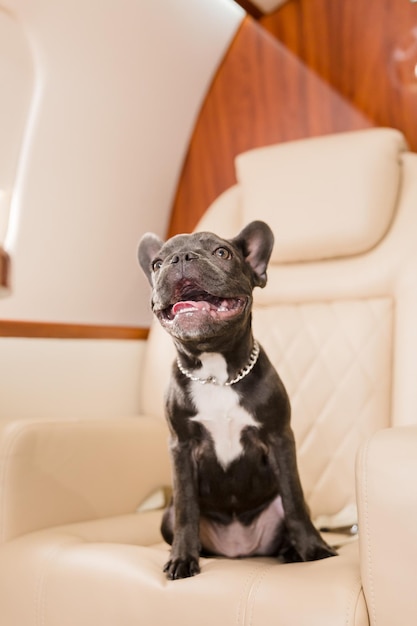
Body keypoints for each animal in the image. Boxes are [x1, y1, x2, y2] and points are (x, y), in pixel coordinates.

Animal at [138, 222, 336, 576]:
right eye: (157, 264)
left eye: (222, 252)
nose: (181, 258)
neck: (217, 375)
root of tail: (238, 550)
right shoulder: (181, 447)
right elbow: (186, 508)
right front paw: (182, 558)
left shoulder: (279, 438)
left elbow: (294, 499)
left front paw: (314, 550)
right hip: (165, 517)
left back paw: (292, 551)